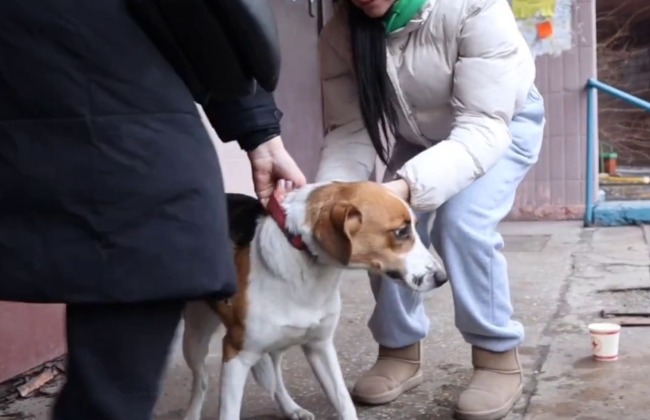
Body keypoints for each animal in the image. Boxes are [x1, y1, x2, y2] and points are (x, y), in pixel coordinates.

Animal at [182, 180, 446, 420]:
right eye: (401, 232)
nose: (442, 278)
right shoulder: (236, 353)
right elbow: (228, 412)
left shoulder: (320, 345)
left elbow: (343, 400)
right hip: (194, 339)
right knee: (201, 381)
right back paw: (192, 414)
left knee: (275, 379)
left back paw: (291, 408)